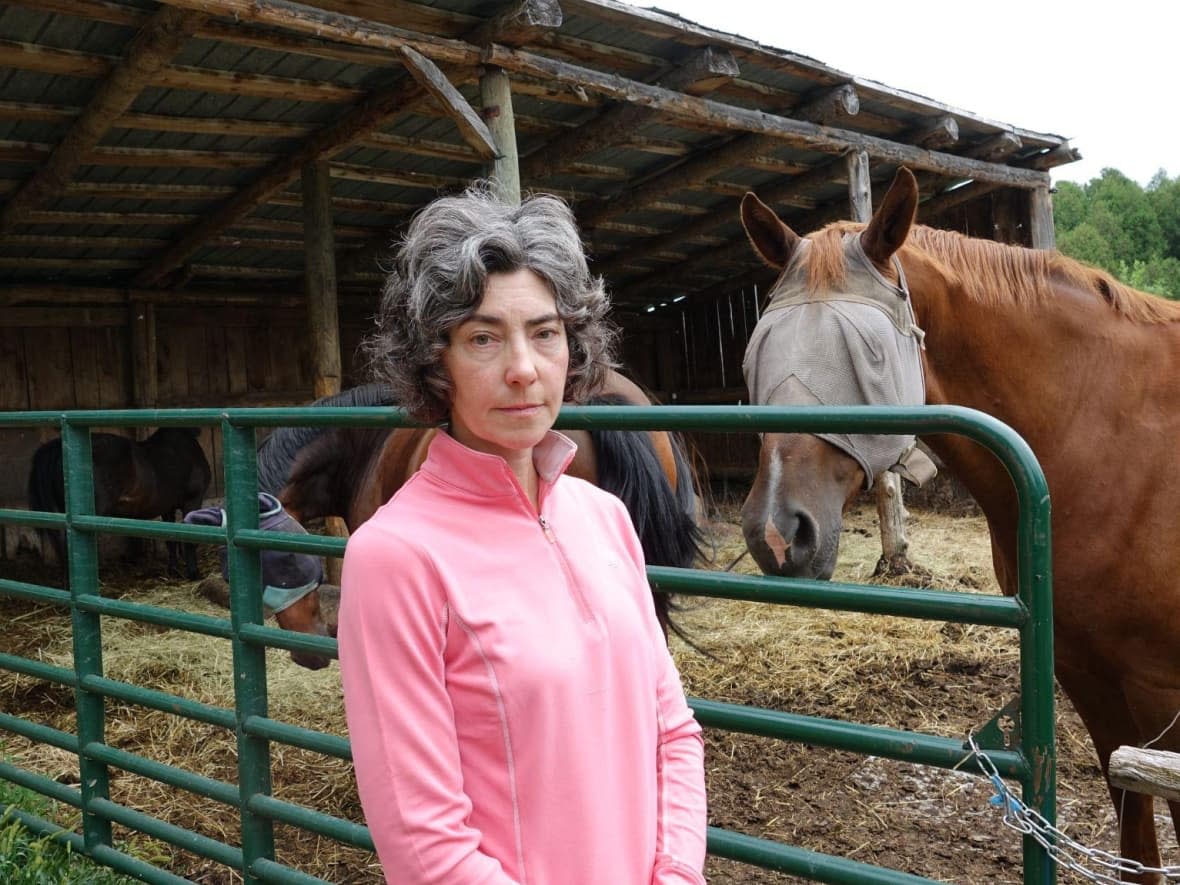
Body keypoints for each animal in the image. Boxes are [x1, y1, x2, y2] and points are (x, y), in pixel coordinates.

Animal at [28, 427, 213, 582]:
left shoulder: (168, 507)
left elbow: (172, 539)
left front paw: (173, 570)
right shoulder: (192, 501)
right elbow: (189, 541)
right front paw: (193, 574)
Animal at [736, 167, 1180, 882]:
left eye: (870, 356)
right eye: (757, 354)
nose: (778, 532)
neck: (1113, 432)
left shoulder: (1159, 692)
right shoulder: (1092, 679)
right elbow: (1137, 844)